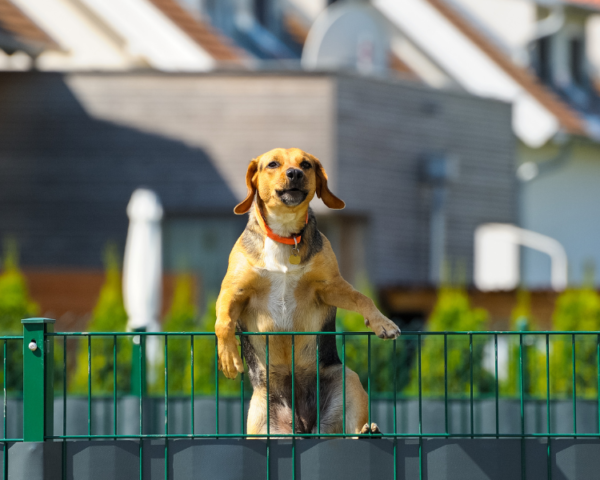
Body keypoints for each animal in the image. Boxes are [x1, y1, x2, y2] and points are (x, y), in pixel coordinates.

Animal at [213, 147, 400, 436]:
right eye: (273, 164)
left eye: (306, 164)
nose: (295, 173)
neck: (284, 233)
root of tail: (303, 426)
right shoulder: (233, 292)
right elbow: (223, 323)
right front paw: (228, 357)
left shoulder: (330, 286)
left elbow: (363, 298)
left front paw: (383, 323)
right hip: (258, 417)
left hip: (348, 381)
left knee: (350, 429)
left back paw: (368, 431)